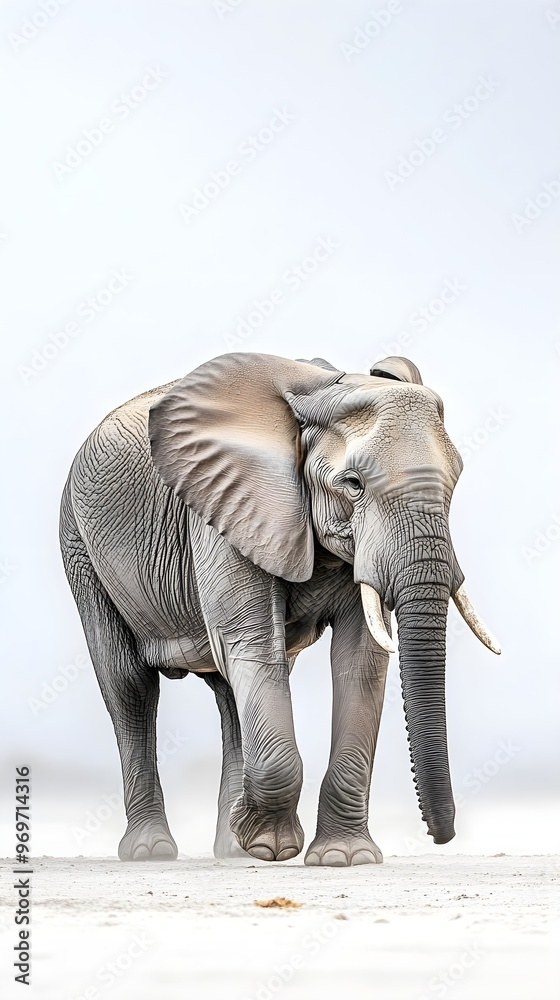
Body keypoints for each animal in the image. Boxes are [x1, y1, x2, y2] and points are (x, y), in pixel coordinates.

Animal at [59, 351, 500, 866]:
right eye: (353, 484)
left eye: (456, 480)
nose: (442, 835)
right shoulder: (226, 507)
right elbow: (250, 642)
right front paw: (268, 846)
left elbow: (360, 660)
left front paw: (341, 858)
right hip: (79, 545)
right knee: (130, 687)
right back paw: (152, 852)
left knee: (230, 693)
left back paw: (232, 849)